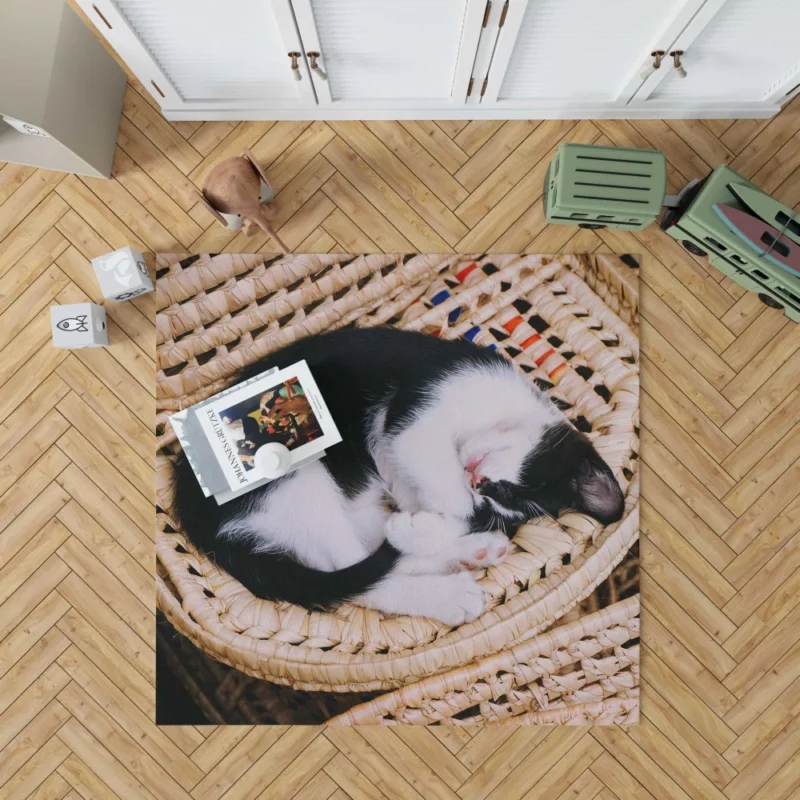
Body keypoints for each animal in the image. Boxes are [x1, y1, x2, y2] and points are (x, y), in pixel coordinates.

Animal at [172, 324, 624, 624]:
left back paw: (471, 551)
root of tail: (192, 505)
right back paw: (449, 594)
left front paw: (428, 528)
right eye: (514, 489)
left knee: (365, 551)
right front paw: (436, 523)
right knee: (349, 568)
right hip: (290, 475)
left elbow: (440, 505)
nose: (479, 482)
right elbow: (450, 498)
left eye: (504, 500)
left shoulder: (408, 470)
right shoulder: (417, 417)